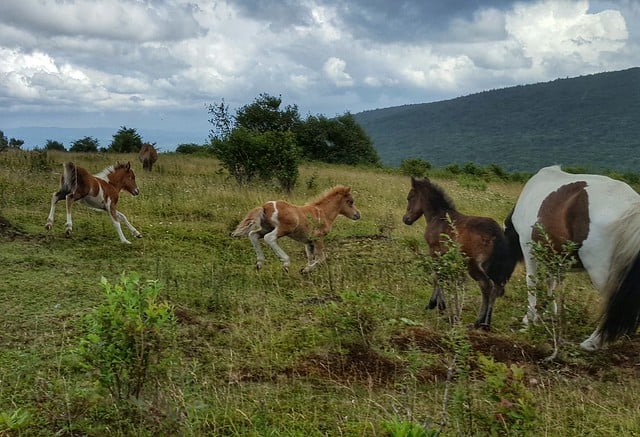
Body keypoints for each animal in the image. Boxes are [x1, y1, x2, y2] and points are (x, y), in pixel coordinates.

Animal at [231, 184, 362, 272]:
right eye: (350, 201)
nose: (357, 215)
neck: (323, 212)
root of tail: (264, 206)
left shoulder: (308, 241)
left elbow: (310, 257)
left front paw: (307, 270)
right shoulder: (318, 238)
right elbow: (321, 257)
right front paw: (305, 270)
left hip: (266, 228)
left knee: (253, 235)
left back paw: (259, 263)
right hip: (284, 228)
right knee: (269, 238)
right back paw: (286, 263)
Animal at [402, 175, 516, 328]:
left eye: (410, 197)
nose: (406, 219)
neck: (438, 216)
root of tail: (495, 233)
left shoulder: (434, 250)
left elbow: (436, 275)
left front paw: (436, 304)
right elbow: (442, 275)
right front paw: (438, 305)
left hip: (472, 264)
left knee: (486, 285)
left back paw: (478, 321)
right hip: (491, 266)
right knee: (496, 288)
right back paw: (486, 324)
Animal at [508, 164, 640, 350]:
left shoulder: (528, 247)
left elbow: (531, 281)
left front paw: (530, 318)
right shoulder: (556, 256)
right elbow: (552, 280)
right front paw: (551, 311)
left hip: (603, 273)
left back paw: (593, 342)